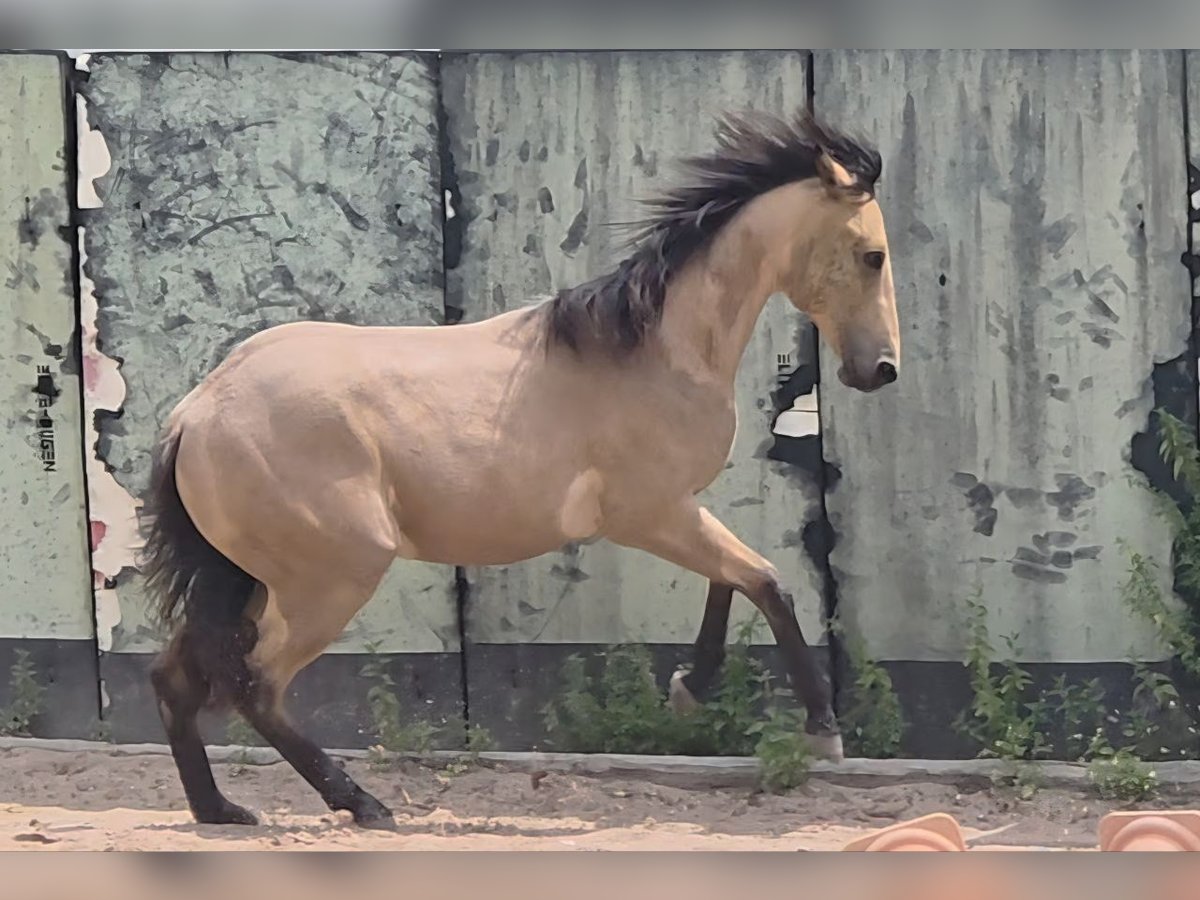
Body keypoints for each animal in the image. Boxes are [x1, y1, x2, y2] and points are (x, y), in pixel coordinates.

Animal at [141, 107, 900, 828]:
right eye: (872, 256)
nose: (880, 370)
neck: (655, 351)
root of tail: (197, 410)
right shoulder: (651, 514)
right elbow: (767, 582)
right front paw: (823, 730)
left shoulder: (679, 509)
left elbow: (733, 581)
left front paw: (689, 686)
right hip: (327, 581)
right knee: (258, 686)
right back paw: (363, 804)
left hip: (243, 579)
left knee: (175, 678)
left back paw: (221, 810)